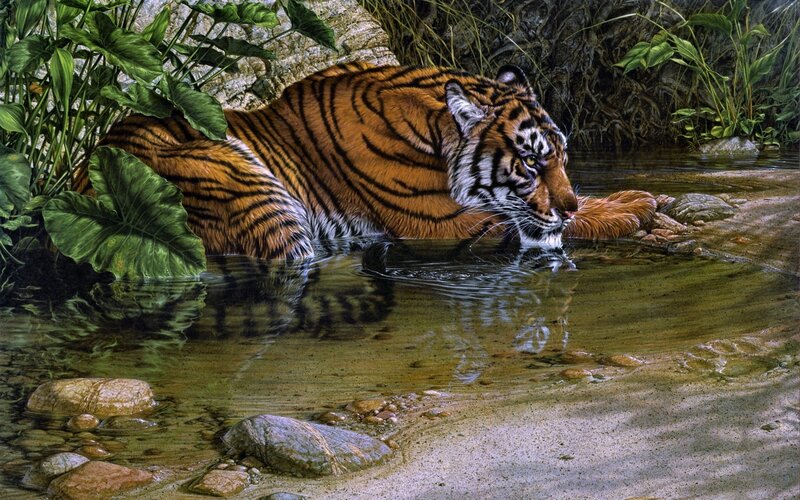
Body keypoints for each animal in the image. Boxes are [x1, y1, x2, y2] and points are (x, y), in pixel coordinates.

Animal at [81, 62, 656, 260]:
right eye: (533, 165)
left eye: (563, 159)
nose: (568, 203)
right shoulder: (446, 224)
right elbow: (547, 225)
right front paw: (631, 208)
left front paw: (635, 196)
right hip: (247, 186)